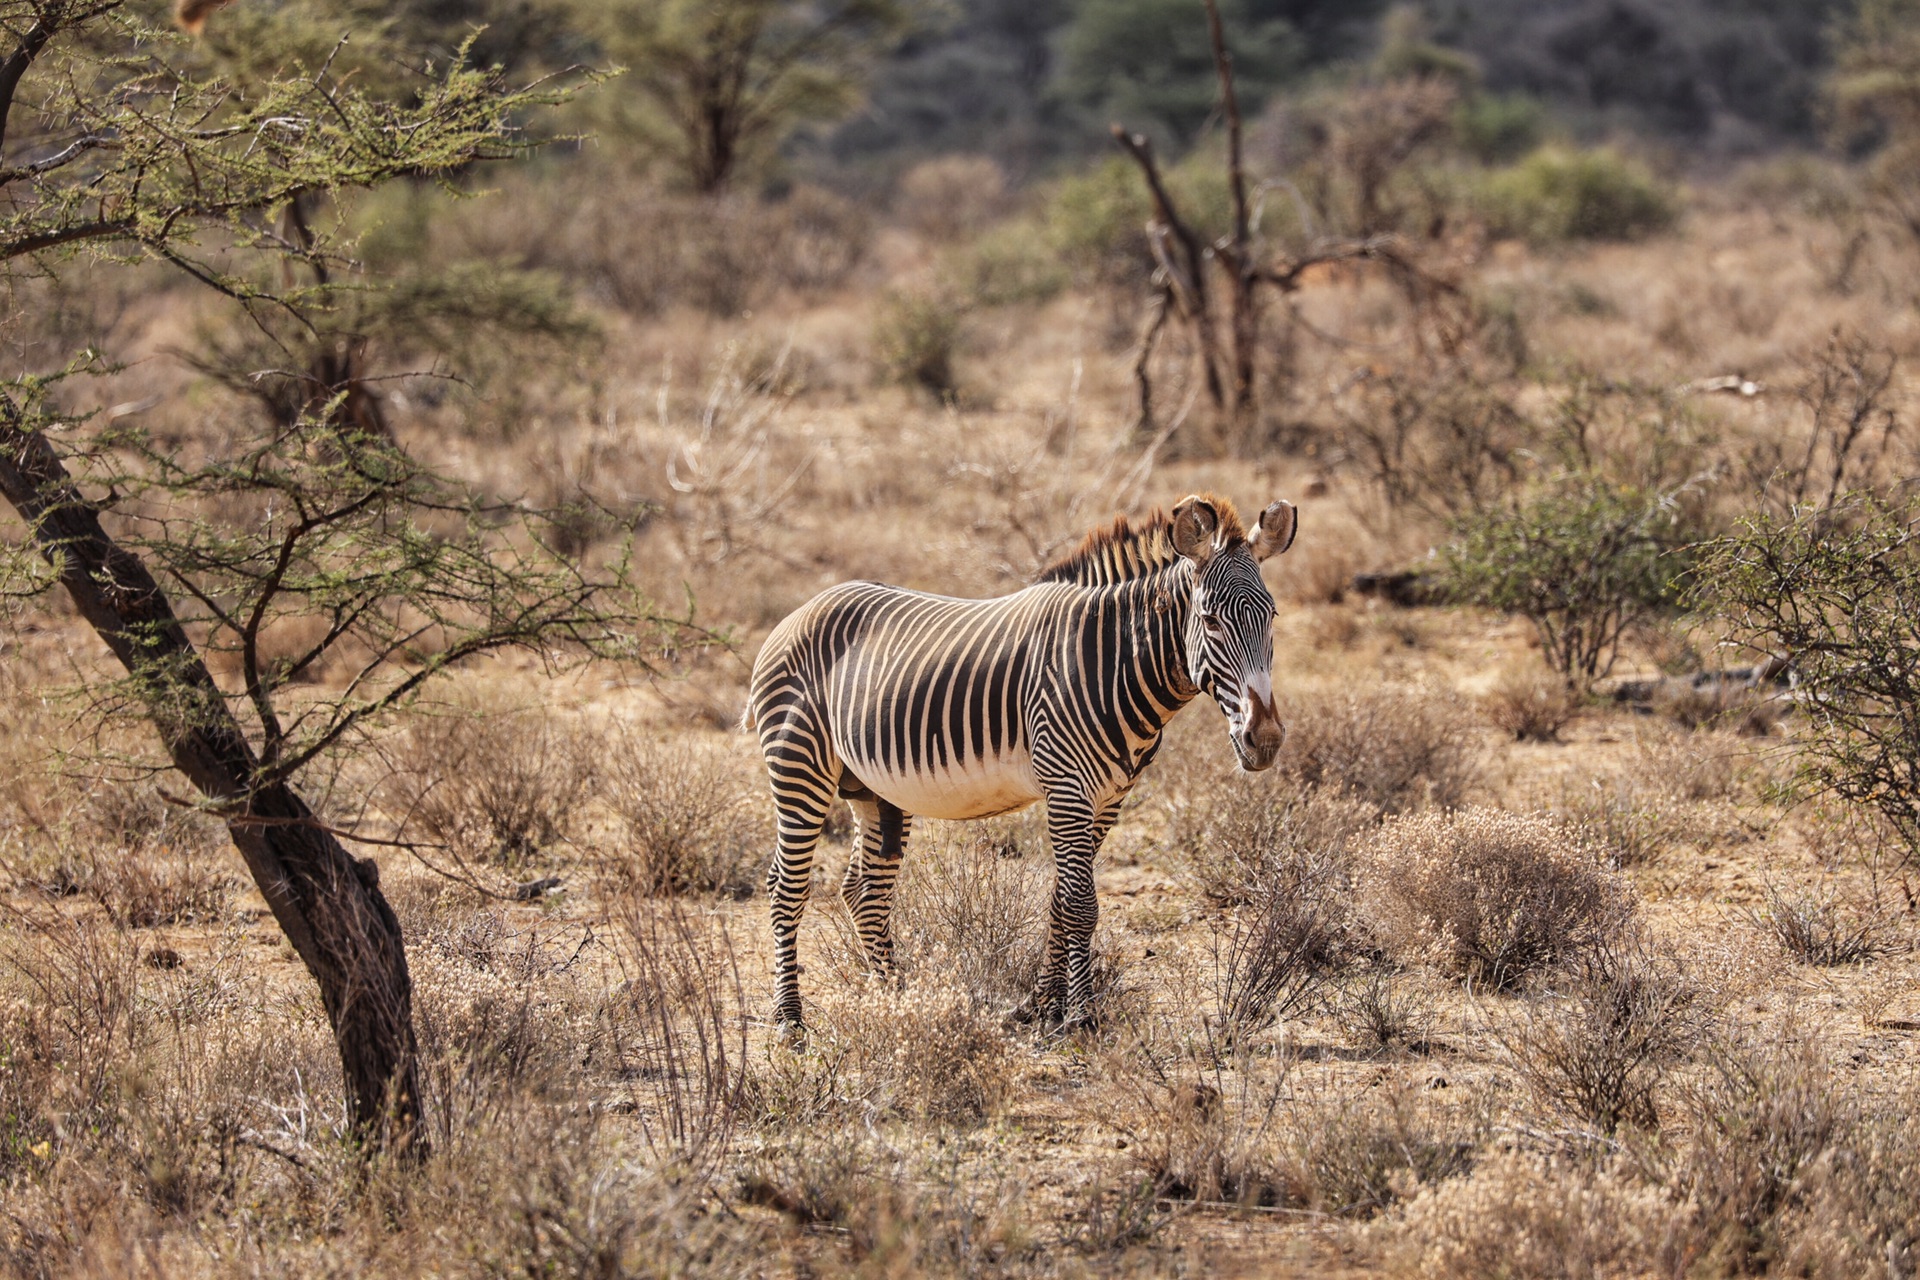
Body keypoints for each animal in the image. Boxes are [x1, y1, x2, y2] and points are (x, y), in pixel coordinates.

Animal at [741, 491, 1297, 1028]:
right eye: (1210, 621)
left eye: (1271, 618)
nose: (1266, 740)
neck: (1112, 659)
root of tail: (803, 609)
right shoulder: (1067, 785)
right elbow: (1081, 904)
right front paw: (1080, 1015)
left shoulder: (1110, 798)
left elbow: (1061, 900)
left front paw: (1043, 1006)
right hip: (799, 766)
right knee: (786, 887)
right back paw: (790, 1021)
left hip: (871, 788)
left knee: (865, 890)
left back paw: (894, 999)